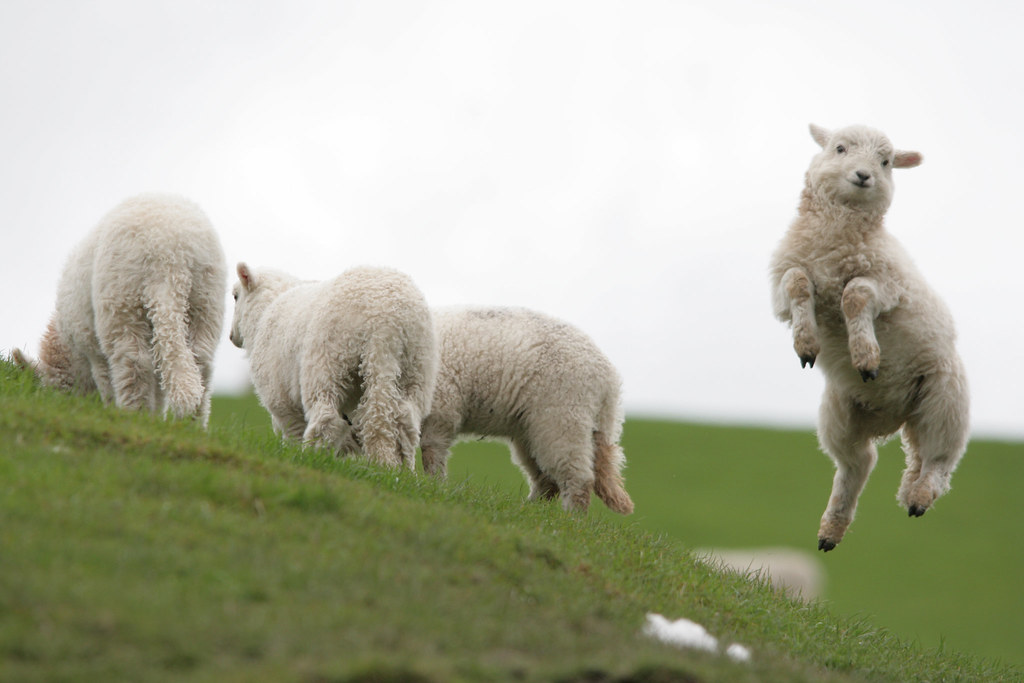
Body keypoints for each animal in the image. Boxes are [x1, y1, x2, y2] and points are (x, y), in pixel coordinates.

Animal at [14, 193, 226, 428]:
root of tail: (167, 256)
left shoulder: (92, 347)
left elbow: (106, 378)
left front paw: (110, 407)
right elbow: (159, 388)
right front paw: (156, 417)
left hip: (121, 299)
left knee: (133, 360)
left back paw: (134, 414)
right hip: (206, 297)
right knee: (200, 358)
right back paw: (191, 424)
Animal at [228, 262, 436, 471]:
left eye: (235, 296)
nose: (231, 337)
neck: (265, 311)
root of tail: (387, 323)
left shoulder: (281, 401)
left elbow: (294, 433)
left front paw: (294, 456)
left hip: (327, 362)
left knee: (327, 417)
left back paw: (313, 456)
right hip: (416, 369)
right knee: (405, 423)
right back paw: (401, 469)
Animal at [421, 307, 630, 516]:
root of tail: (608, 378)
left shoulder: (441, 408)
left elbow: (431, 450)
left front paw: (434, 486)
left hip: (563, 417)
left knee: (577, 476)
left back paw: (570, 517)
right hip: (532, 429)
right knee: (547, 479)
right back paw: (530, 509)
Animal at [770, 122, 970, 548]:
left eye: (886, 162)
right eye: (840, 148)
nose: (864, 176)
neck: (834, 238)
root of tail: (894, 416)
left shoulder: (887, 286)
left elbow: (855, 295)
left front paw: (865, 354)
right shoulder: (784, 283)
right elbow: (797, 283)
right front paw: (807, 344)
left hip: (945, 399)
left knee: (939, 458)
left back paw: (920, 495)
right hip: (840, 414)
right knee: (858, 463)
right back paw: (831, 529)